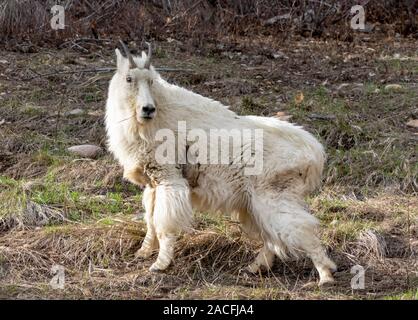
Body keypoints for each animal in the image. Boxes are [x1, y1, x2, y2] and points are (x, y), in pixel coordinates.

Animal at [106, 41, 338, 284]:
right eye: (129, 78)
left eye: (151, 80)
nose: (148, 109)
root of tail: (314, 153)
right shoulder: (152, 184)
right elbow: (150, 221)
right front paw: (142, 252)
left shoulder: (170, 180)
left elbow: (164, 225)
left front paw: (160, 264)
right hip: (254, 203)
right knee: (273, 237)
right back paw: (255, 267)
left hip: (273, 197)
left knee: (301, 229)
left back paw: (325, 275)